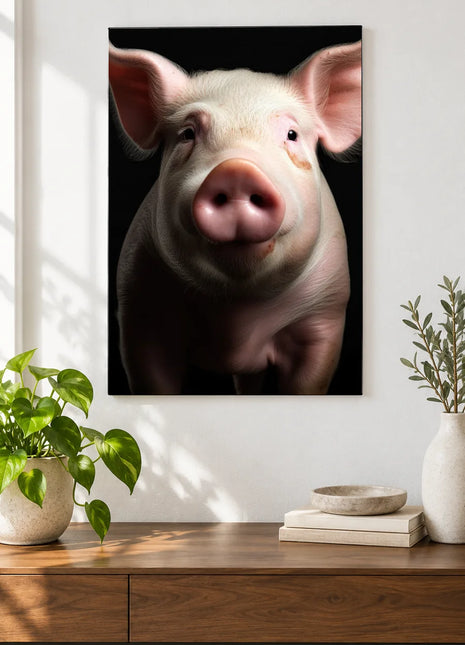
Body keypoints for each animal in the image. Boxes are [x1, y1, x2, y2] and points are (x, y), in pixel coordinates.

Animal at [109, 39, 361, 395]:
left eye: (292, 134)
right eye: (187, 134)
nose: (237, 171)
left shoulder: (324, 315)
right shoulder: (139, 313)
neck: (237, 318)